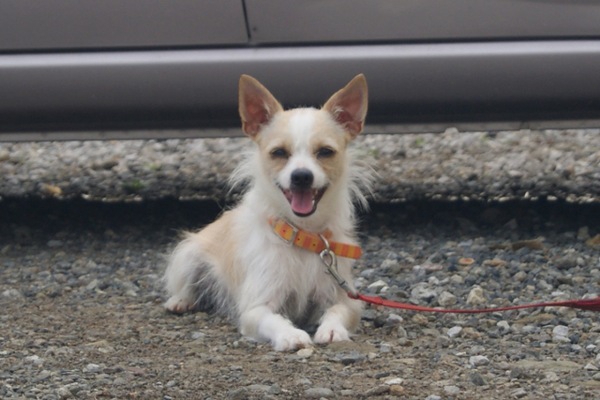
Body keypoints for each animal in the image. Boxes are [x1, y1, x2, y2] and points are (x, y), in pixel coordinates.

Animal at [164, 74, 370, 350]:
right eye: (279, 153)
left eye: (325, 152)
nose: (301, 176)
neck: (302, 235)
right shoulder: (256, 308)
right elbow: (273, 320)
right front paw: (290, 334)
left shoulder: (344, 298)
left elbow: (337, 311)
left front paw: (332, 329)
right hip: (188, 256)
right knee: (186, 285)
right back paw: (181, 300)